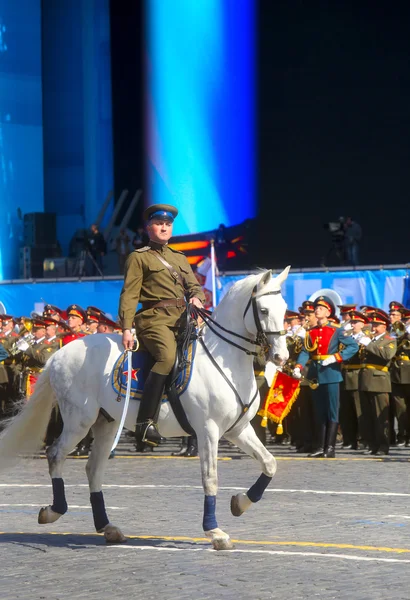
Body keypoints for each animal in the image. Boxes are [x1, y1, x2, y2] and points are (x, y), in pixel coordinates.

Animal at [0, 268, 290, 548]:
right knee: (55, 454)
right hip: (79, 421)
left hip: (107, 424)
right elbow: (211, 478)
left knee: (93, 468)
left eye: (285, 308)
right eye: (264, 310)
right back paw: (54, 511)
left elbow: (270, 463)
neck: (227, 359)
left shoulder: (237, 430)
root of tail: (59, 354)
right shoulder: (208, 430)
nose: (281, 357)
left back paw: (107, 527)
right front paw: (215, 532)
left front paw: (240, 503)